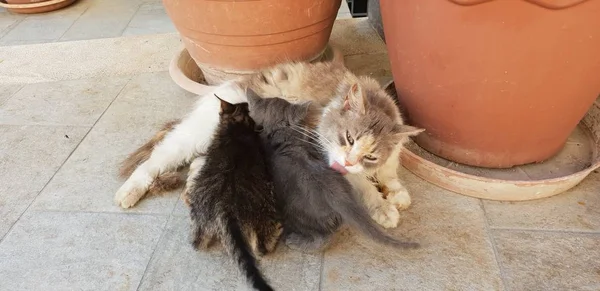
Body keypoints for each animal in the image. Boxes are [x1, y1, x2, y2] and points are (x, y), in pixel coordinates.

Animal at [185, 97, 282, 291]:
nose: (245, 103)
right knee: (260, 248)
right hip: (265, 205)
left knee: (197, 241)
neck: (234, 126)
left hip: (199, 208)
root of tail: (225, 205)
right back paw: (274, 235)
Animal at [244, 90, 418, 252]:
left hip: (295, 210)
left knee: (320, 238)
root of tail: (340, 198)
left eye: (370, 156)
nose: (349, 161)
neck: (286, 137)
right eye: (349, 138)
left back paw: (295, 241)